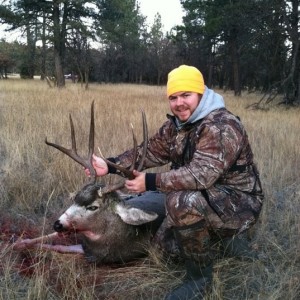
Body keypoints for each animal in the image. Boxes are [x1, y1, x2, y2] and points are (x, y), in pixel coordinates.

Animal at [12, 102, 165, 264]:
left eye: (93, 207)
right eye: (75, 198)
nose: (57, 224)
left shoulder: (91, 253)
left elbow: (59, 247)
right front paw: (18, 243)